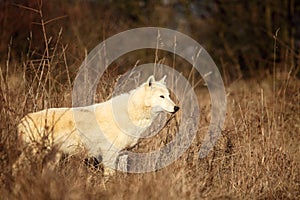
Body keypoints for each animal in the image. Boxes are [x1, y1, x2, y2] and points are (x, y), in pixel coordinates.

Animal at [17, 75, 179, 173]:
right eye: (161, 96)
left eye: (169, 96)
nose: (177, 108)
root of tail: (22, 120)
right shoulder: (109, 154)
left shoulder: (123, 153)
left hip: (52, 159)